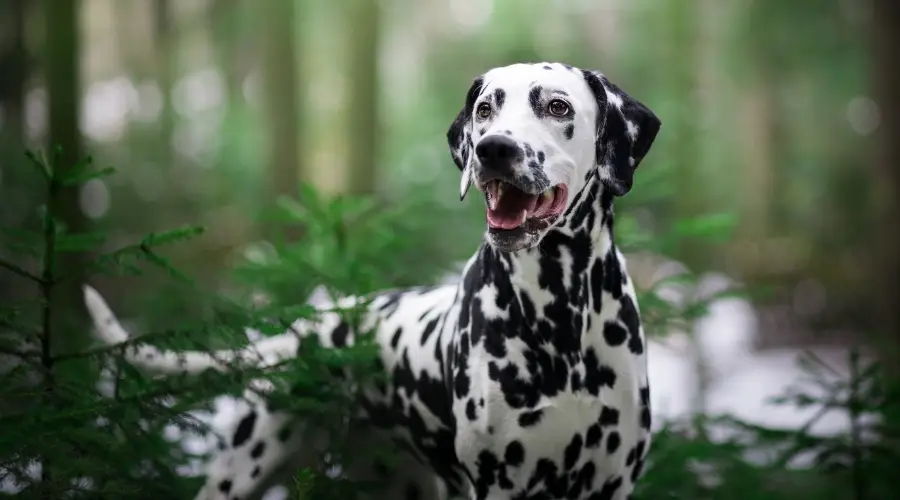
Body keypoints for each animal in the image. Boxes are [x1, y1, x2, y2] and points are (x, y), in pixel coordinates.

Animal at [82, 62, 660, 500]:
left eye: (558, 107)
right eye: (485, 109)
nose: (493, 148)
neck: (560, 315)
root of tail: (305, 332)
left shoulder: (610, 483)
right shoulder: (496, 484)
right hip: (242, 470)